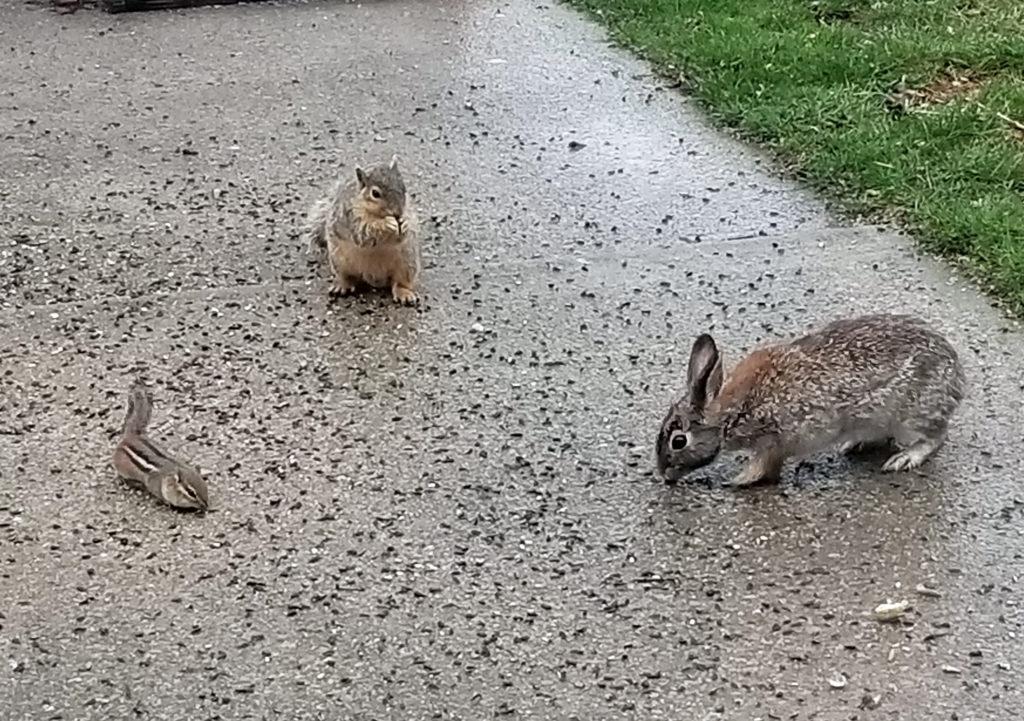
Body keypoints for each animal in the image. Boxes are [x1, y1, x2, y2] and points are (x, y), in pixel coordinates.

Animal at [112, 383, 207, 512]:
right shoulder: (155, 484)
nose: (206, 506)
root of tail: (132, 434)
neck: (168, 477)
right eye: (191, 493)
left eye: (205, 487)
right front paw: (167, 503)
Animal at [301, 154, 421, 303]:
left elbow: (403, 233)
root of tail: (374, 276)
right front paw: (386, 224)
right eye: (375, 193)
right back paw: (342, 285)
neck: (376, 214)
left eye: (404, 188)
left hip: (407, 263)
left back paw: (404, 293)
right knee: (348, 276)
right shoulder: (351, 217)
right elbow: (363, 233)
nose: (398, 213)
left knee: (400, 282)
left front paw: (405, 223)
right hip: (339, 261)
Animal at [659, 313, 962, 487]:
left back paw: (903, 459)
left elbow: (763, 466)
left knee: (936, 437)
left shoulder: (775, 440)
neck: (729, 415)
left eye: (678, 441)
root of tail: (957, 375)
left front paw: (738, 481)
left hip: (911, 416)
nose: (663, 474)